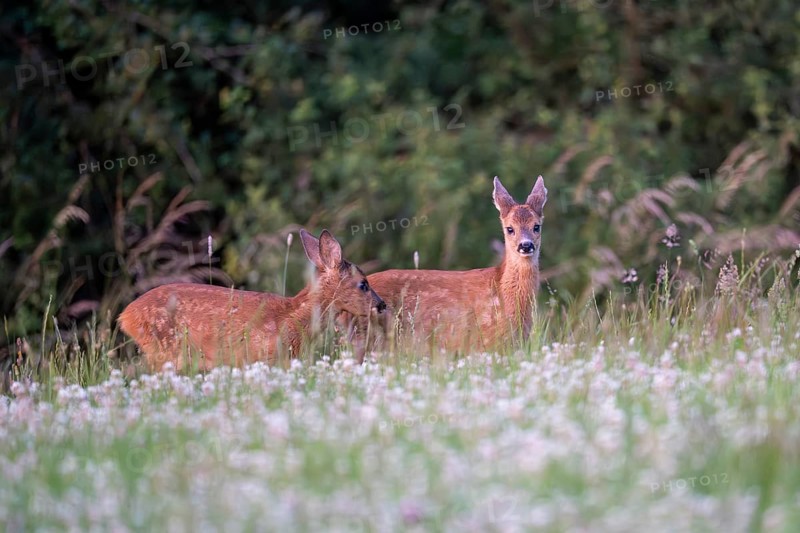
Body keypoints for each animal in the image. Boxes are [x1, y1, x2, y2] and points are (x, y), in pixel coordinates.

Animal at [118, 229, 386, 371]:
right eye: (363, 284)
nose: (381, 305)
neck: (293, 316)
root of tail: (125, 316)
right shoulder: (265, 356)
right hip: (165, 349)